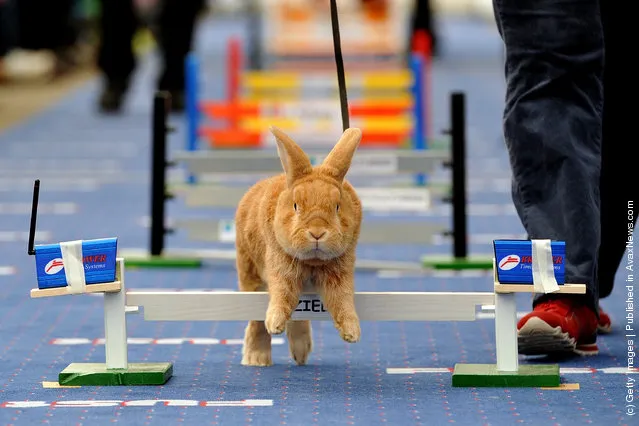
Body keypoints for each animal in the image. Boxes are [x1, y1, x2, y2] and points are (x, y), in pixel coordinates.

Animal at [235, 125, 364, 366]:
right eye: (296, 206)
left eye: (337, 207)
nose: (317, 232)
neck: (312, 262)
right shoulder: (280, 266)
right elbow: (282, 293)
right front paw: (275, 323)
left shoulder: (340, 273)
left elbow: (342, 299)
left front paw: (352, 333)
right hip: (249, 272)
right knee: (256, 320)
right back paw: (257, 358)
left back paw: (301, 353)